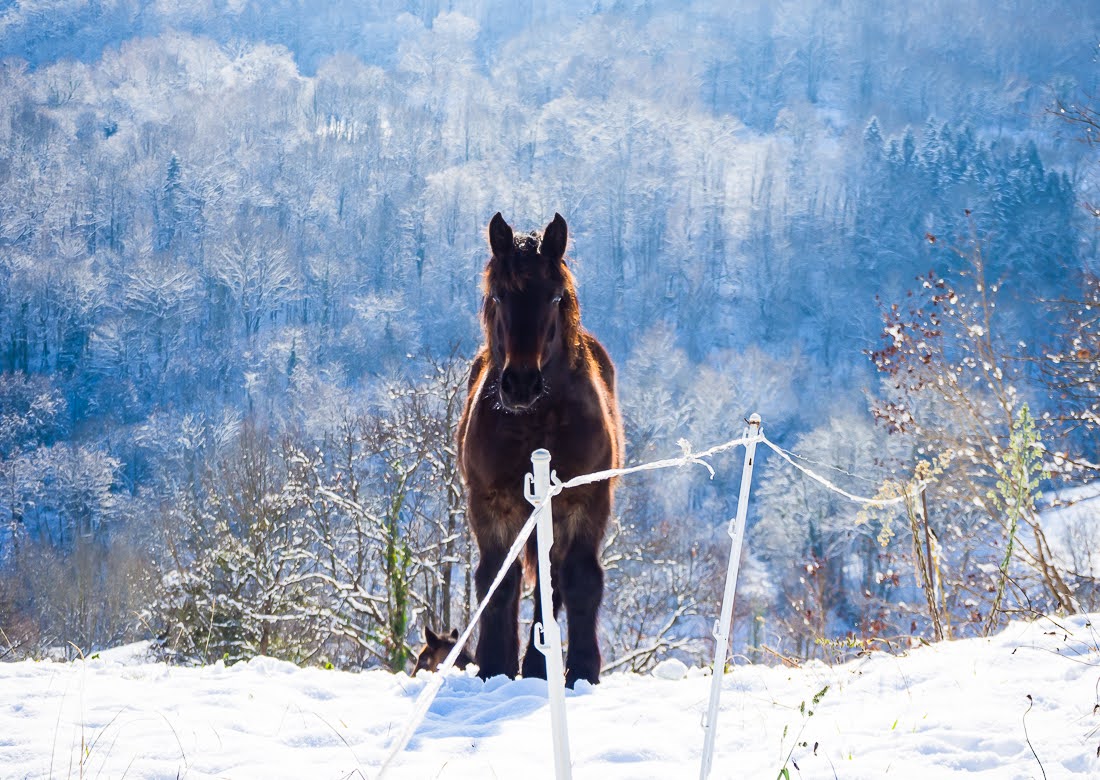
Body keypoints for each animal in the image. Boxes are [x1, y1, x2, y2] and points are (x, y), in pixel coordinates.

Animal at [457, 210, 624, 686]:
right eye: (497, 294)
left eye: (553, 298)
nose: (520, 384)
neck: (535, 422)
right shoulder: (492, 504)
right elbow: (498, 580)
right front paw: (493, 666)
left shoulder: (584, 501)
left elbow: (579, 580)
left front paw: (582, 670)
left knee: (554, 581)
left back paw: (538, 667)